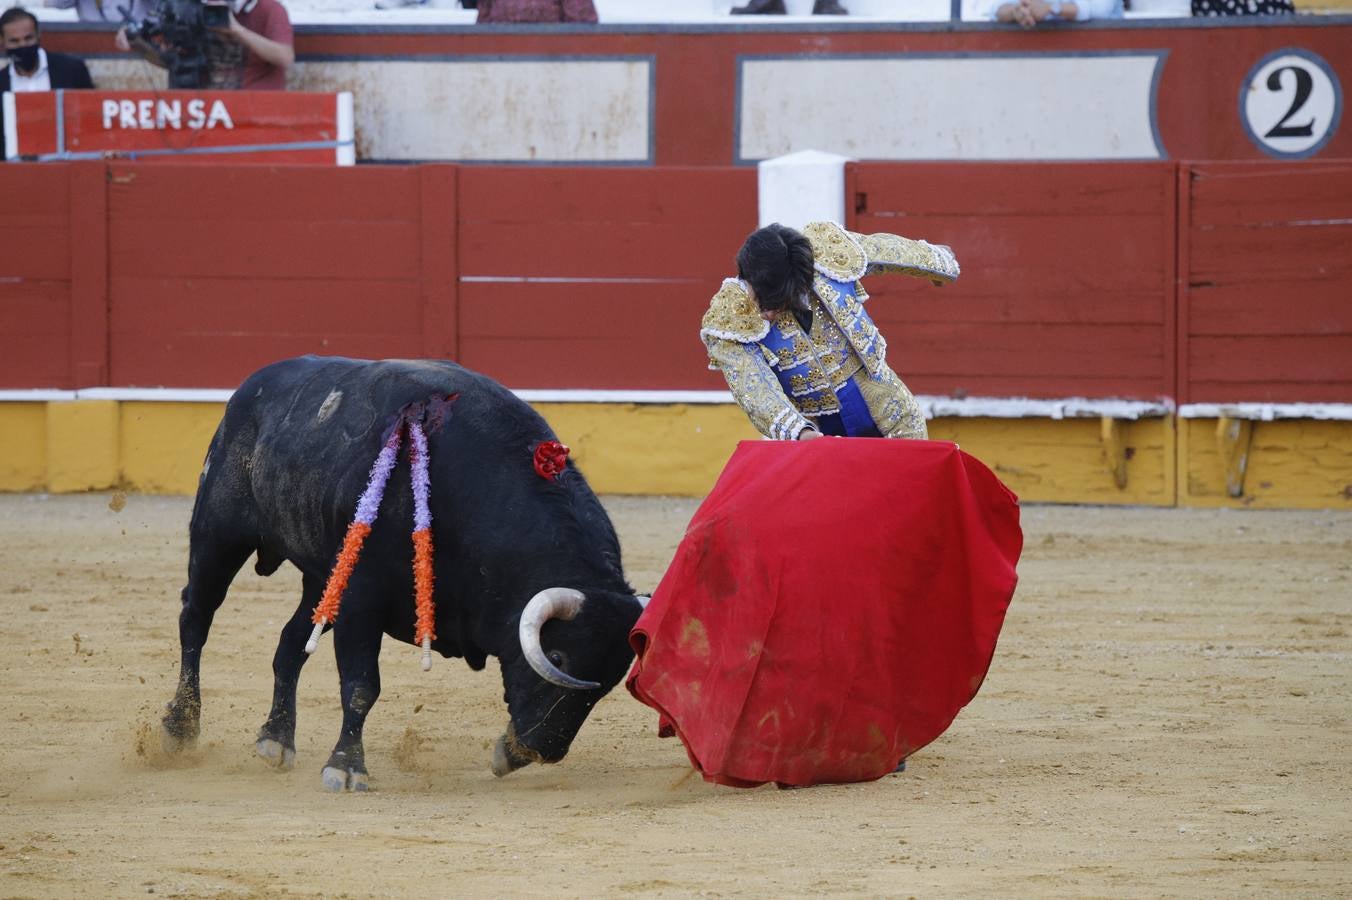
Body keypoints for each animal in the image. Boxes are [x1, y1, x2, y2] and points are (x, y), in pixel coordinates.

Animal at [160, 354, 646, 789]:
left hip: (323, 576)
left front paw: (506, 753)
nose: (544, 750)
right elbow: (361, 685)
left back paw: (276, 740)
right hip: (218, 534)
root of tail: (251, 386)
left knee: (289, 645)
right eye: (558, 658)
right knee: (196, 619)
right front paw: (346, 768)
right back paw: (179, 729)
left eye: (609, 682)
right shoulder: (361, 600)